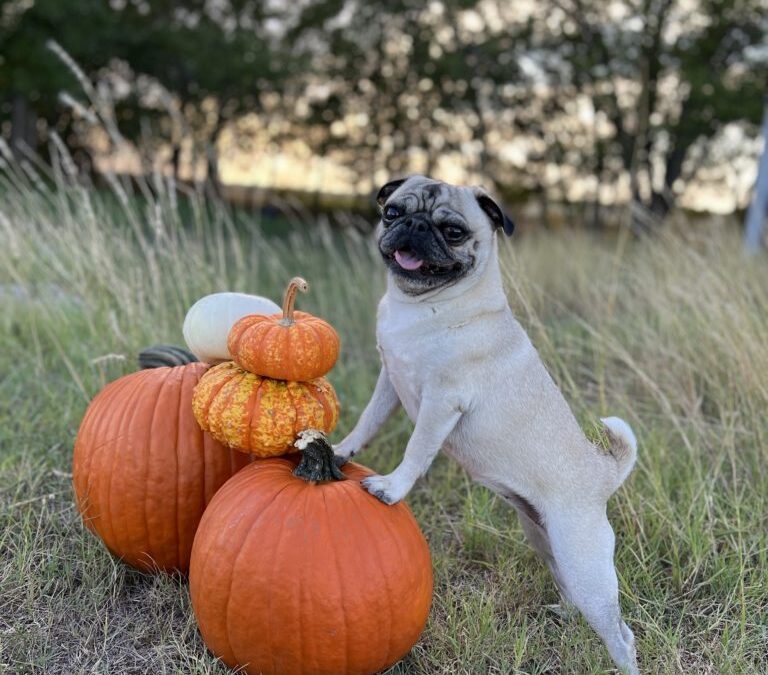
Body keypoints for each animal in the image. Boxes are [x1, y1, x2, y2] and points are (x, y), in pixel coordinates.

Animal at [336, 176, 640, 675]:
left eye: (453, 232)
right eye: (393, 213)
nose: (415, 227)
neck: (422, 306)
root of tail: (603, 474)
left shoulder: (442, 401)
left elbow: (417, 450)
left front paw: (392, 488)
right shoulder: (390, 381)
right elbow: (367, 422)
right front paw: (341, 450)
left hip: (585, 564)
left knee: (621, 635)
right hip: (545, 540)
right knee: (568, 590)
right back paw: (562, 614)